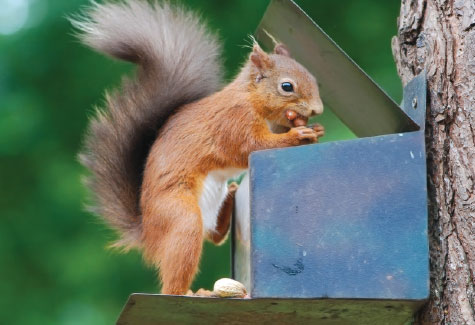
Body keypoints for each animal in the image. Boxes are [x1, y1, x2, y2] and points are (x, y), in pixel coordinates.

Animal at [74, 0, 326, 294]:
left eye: (313, 78)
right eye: (287, 86)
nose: (317, 109)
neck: (251, 99)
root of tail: (148, 234)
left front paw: (316, 130)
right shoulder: (234, 123)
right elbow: (252, 146)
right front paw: (298, 135)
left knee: (215, 235)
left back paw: (230, 198)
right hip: (180, 218)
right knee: (175, 279)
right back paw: (195, 293)